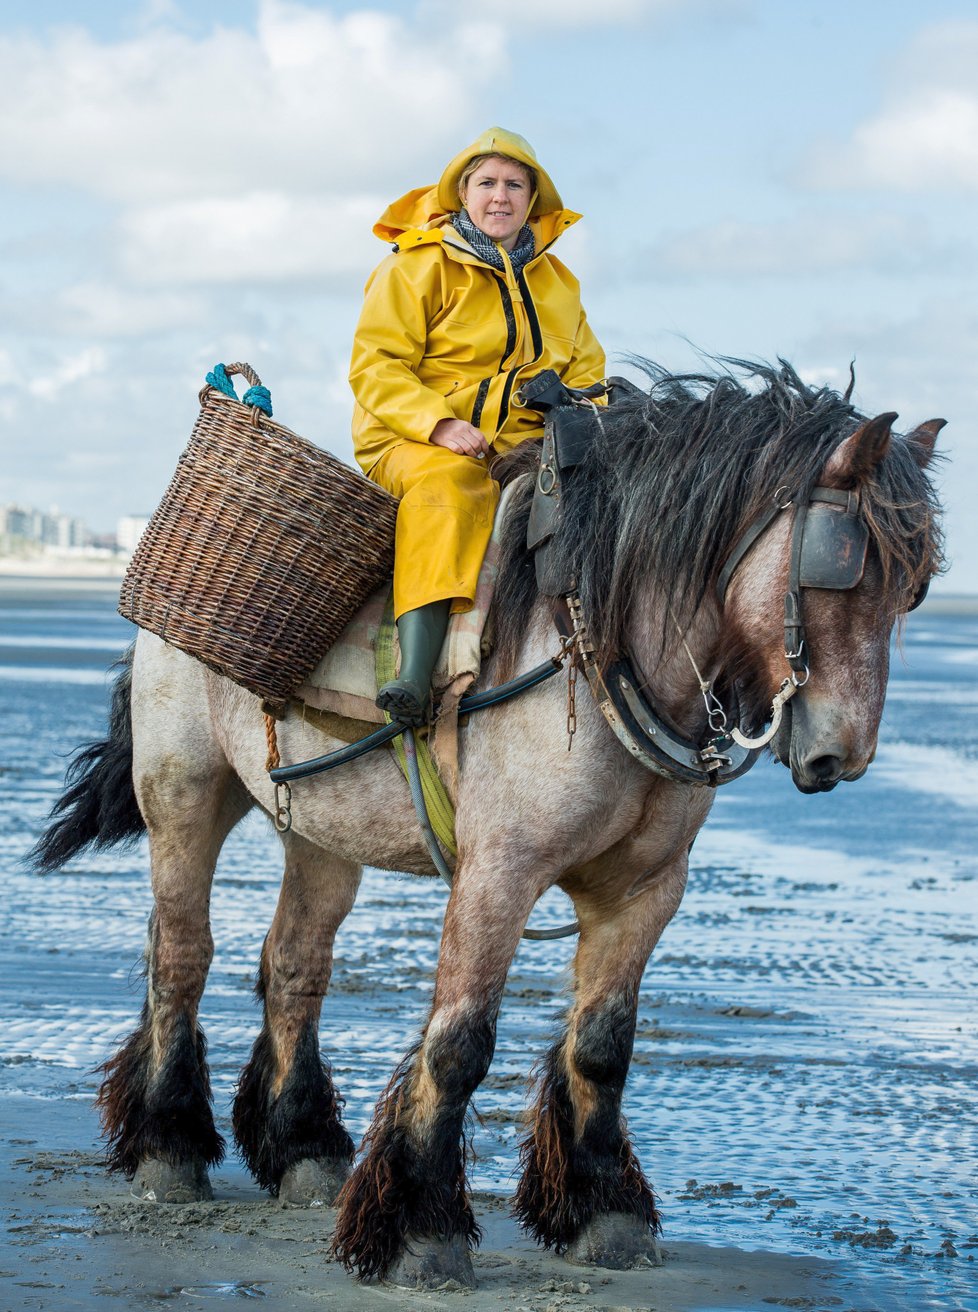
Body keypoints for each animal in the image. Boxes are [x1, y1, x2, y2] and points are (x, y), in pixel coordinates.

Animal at [34, 362, 939, 1291]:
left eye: (913, 589)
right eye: (839, 574)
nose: (843, 755)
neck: (600, 645)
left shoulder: (644, 890)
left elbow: (603, 1046)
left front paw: (604, 1210)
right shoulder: (498, 872)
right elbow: (460, 1043)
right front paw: (421, 1227)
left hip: (320, 837)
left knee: (292, 968)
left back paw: (304, 1149)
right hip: (185, 794)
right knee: (180, 956)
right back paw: (169, 1146)